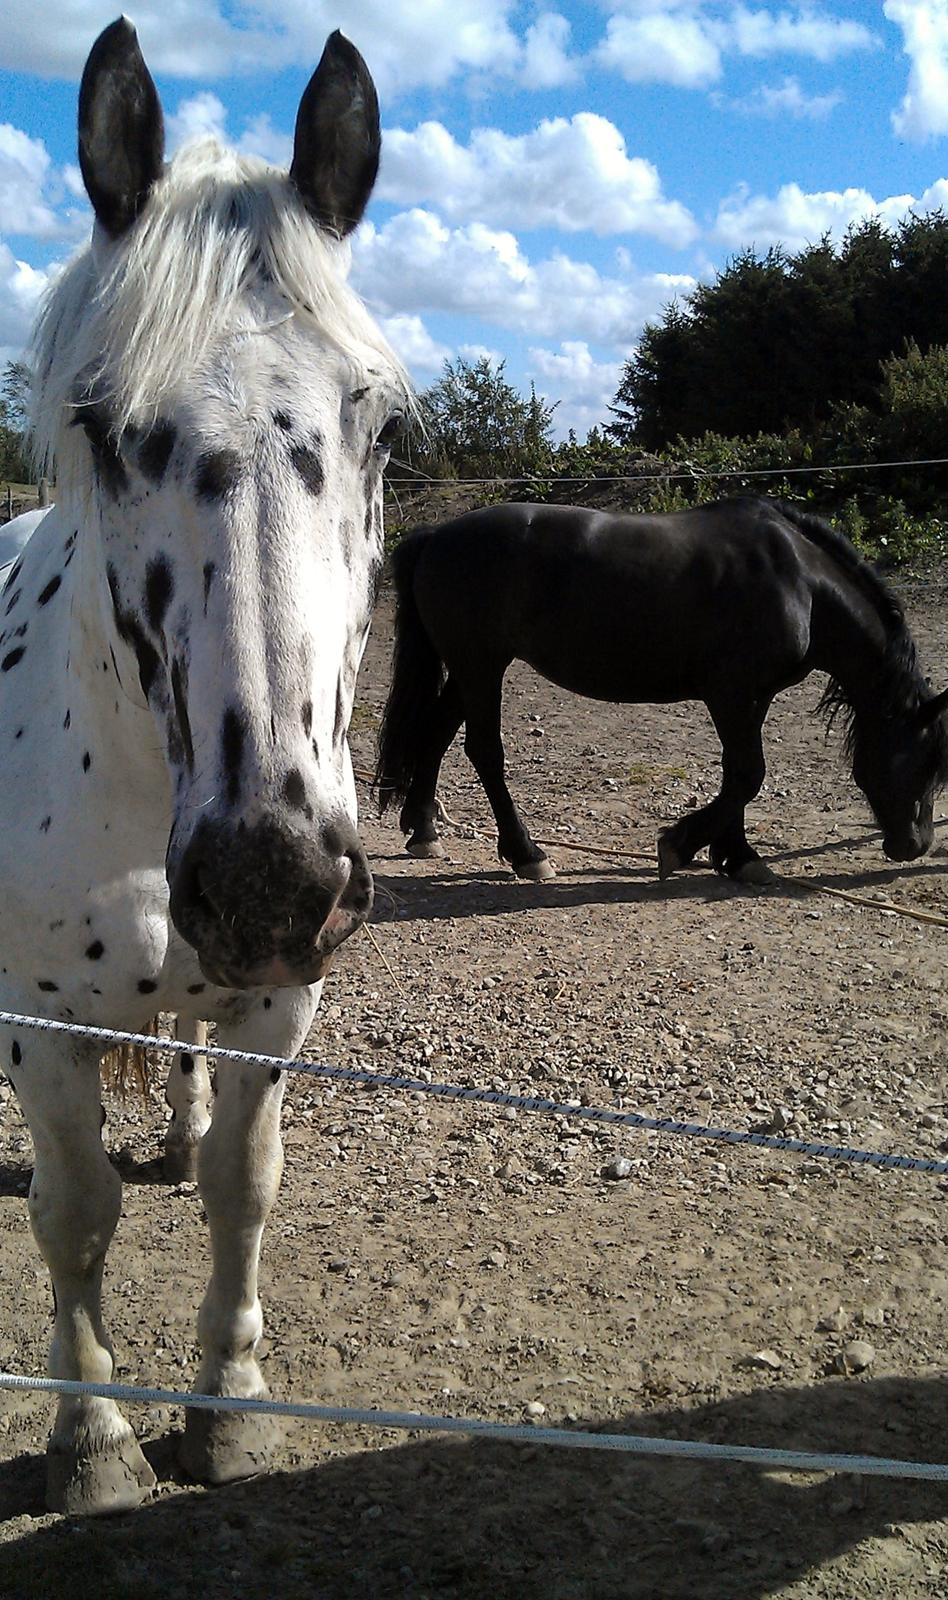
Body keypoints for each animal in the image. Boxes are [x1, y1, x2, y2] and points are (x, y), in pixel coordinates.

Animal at [0, 18, 406, 1504]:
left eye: (383, 428)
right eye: (105, 428)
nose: (268, 877)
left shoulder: (284, 999)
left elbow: (245, 1184)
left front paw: (228, 1406)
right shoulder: (41, 1023)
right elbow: (72, 1213)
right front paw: (93, 1440)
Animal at [374, 492, 941, 883]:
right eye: (921, 762)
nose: (916, 846)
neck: (796, 580)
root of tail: (436, 534)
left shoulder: (752, 698)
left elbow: (738, 774)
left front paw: (739, 857)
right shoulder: (733, 694)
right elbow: (747, 775)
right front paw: (682, 846)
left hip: (470, 668)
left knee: (435, 734)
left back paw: (423, 832)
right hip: (481, 665)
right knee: (483, 750)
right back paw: (527, 854)